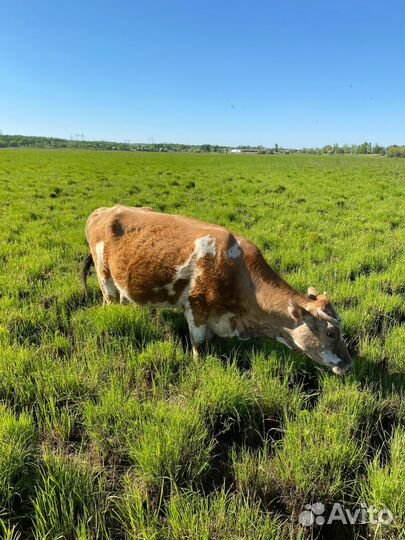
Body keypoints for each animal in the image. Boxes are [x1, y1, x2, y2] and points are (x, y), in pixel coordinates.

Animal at [81, 205, 350, 374]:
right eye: (331, 333)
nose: (349, 364)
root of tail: (103, 210)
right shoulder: (196, 309)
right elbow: (199, 347)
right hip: (105, 278)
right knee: (109, 301)